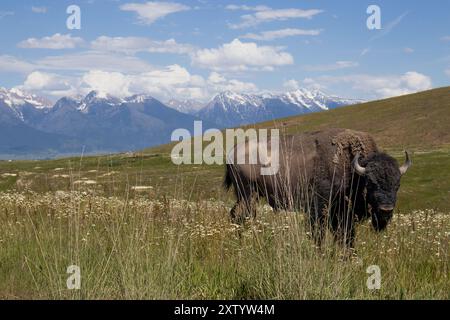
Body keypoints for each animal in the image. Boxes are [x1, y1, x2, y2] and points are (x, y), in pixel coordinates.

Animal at [223, 127, 410, 250]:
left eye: (398, 185)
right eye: (370, 183)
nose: (386, 210)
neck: (353, 169)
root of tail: (233, 151)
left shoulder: (342, 215)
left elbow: (346, 236)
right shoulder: (321, 209)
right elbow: (320, 233)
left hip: (246, 196)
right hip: (248, 194)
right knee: (241, 215)